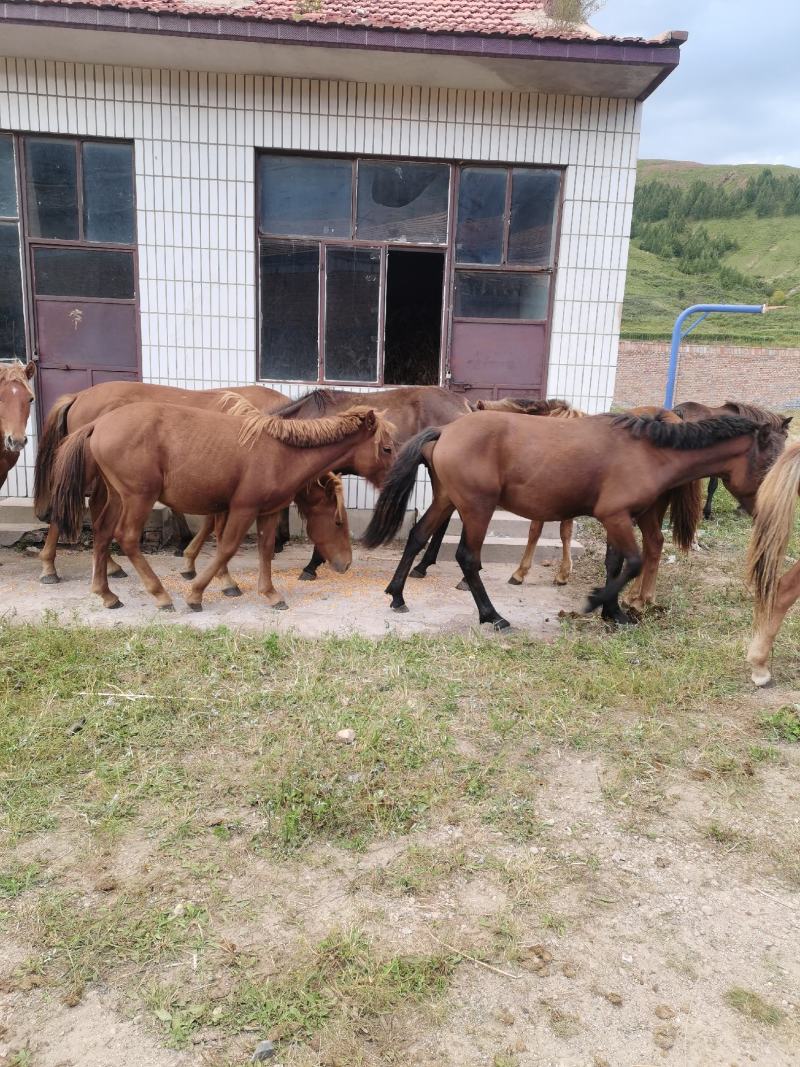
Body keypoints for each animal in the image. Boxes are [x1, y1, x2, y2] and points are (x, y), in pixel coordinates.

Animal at [33, 380, 392, 586]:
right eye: (387, 449)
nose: (393, 481)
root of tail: (80, 397)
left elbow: (212, 527)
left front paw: (194, 564)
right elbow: (220, 534)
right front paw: (213, 574)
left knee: (97, 519)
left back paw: (107, 570)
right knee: (74, 511)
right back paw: (52, 568)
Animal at [363, 410, 785, 631]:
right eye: (769, 462)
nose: (769, 511)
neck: (649, 453)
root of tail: (447, 430)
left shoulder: (619, 519)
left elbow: (616, 563)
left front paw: (614, 613)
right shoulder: (616, 517)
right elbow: (632, 563)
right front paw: (596, 602)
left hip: (447, 499)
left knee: (418, 537)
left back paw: (397, 595)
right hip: (477, 509)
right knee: (468, 558)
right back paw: (492, 616)